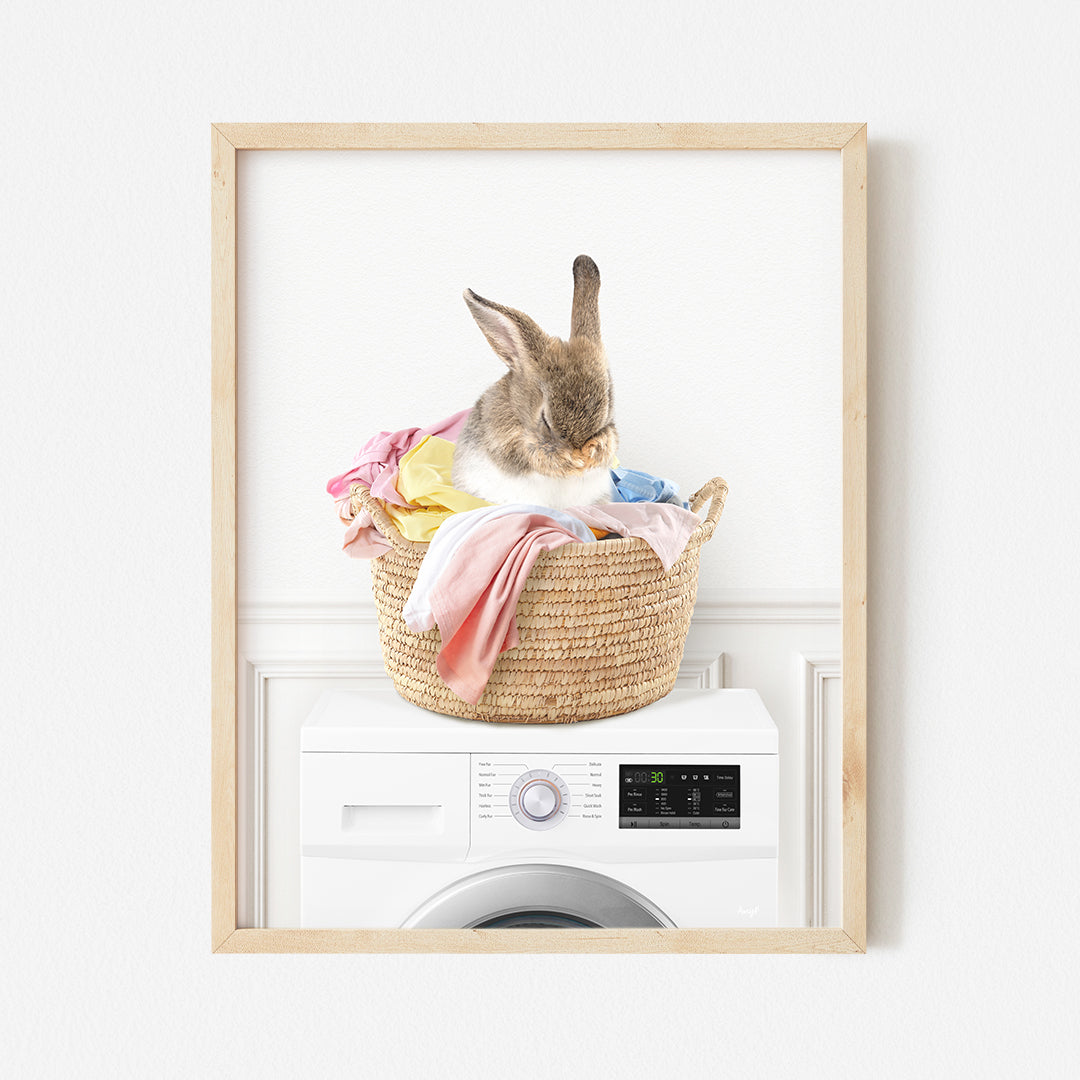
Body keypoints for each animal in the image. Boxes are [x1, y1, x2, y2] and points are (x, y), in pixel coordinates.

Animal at [447, 254, 617, 507]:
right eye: (544, 419)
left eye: (607, 408)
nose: (578, 450)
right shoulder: (509, 445)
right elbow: (534, 455)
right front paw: (571, 461)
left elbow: (610, 441)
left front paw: (593, 452)